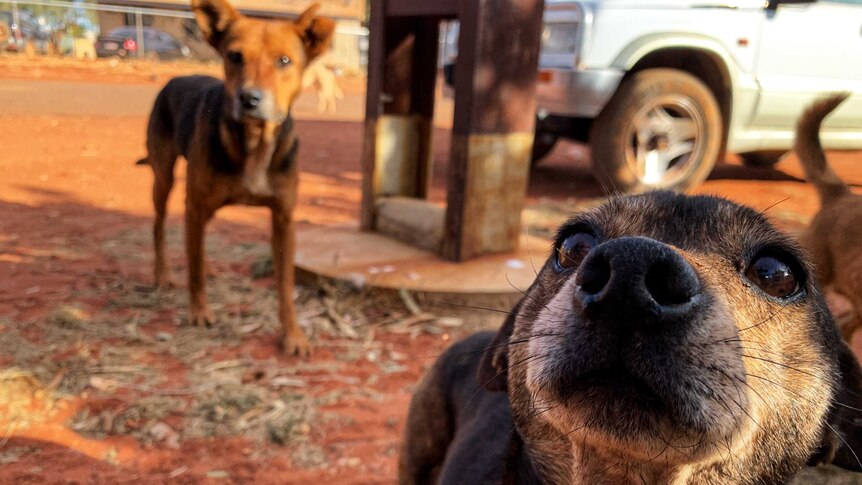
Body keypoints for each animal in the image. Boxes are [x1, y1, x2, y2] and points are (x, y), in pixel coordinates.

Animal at [137, 0, 336, 356]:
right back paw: (163, 273)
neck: (255, 142)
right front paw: (199, 311)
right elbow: (195, 272)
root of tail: (174, 80)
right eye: (234, 56)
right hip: (165, 178)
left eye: (284, 60)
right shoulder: (195, 204)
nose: (249, 98)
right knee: (161, 227)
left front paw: (293, 335)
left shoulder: (283, 219)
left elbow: (285, 286)